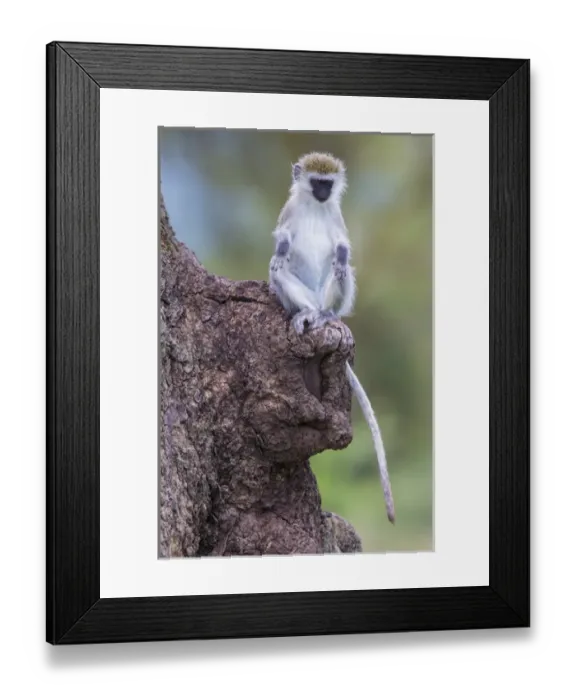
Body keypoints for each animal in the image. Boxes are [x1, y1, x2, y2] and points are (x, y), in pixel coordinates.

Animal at [269, 152, 396, 524]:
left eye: (328, 184)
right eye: (316, 183)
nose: (324, 193)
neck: (314, 205)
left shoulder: (336, 216)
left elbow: (342, 244)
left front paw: (340, 253)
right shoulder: (289, 209)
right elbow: (282, 241)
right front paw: (282, 247)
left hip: (334, 297)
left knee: (342, 271)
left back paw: (326, 315)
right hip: (298, 294)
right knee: (279, 270)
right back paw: (306, 314)